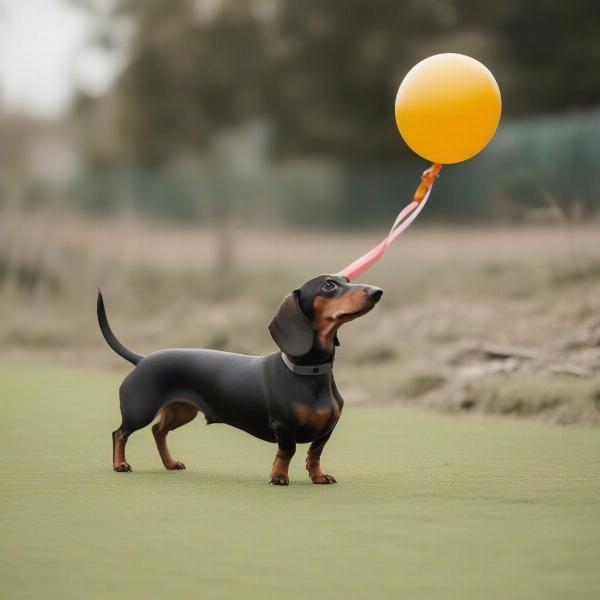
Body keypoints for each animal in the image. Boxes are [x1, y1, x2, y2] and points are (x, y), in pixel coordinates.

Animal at [97, 274, 380, 486]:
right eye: (328, 285)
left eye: (347, 279)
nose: (377, 291)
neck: (309, 372)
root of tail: (142, 359)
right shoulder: (284, 425)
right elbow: (287, 451)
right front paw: (278, 476)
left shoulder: (328, 428)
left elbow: (315, 453)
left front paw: (319, 476)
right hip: (140, 410)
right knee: (120, 433)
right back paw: (120, 464)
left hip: (182, 412)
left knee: (158, 431)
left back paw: (170, 462)